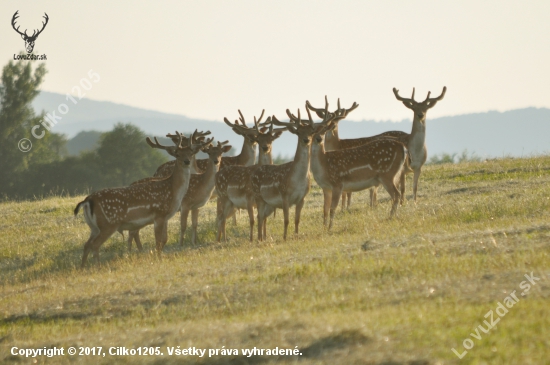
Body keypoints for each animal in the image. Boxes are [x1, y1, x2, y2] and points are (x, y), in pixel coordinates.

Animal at [74, 132, 211, 266]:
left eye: (191, 153)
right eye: (177, 154)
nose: (187, 161)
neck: (173, 191)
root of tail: (87, 201)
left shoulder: (165, 216)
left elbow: (164, 239)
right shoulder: (159, 214)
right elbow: (158, 241)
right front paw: (158, 259)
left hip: (94, 227)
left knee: (87, 244)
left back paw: (83, 268)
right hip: (108, 224)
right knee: (95, 245)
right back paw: (97, 267)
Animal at [218, 112, 288, 240]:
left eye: (271, 139)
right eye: (258, 139)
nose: (265, 147)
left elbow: (263, 219)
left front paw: (264, 237)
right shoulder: (250, 198)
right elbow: (253, 220)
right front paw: (253, 239)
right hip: (222, 196)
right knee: (220, 216)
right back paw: (221, 239)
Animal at [253, 105, 338, 240]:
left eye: (311, 132)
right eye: (298, 132)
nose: (306, 139)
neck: (297, 181)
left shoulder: (302, 198)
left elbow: (297, 220)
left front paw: (296, 236)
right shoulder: (284, 195)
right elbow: (286, 220)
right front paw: (284, 237)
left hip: (269, 204)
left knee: (262, 217)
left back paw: (262, 238)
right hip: (259, 197)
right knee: (260, 217)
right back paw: (259, 239)